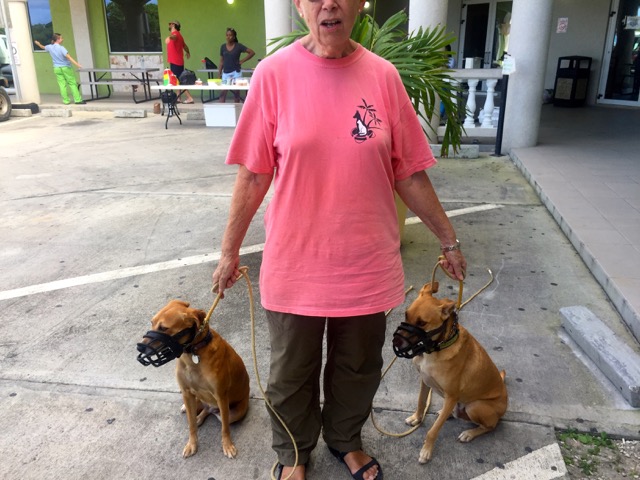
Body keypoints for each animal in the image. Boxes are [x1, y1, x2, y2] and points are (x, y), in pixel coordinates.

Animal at [138, 298, 250, 460]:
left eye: (164, 328)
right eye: (152, 323)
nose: (139, 347)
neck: (192, 355)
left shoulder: (221, 396)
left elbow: (225, 428)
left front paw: (227, 445)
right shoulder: (186, 393)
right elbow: (190, 425)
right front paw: (192, 444)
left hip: (233, 413)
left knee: (220, 417)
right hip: (196, 401)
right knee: (202, 410)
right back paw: (195, 416)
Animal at [392, 284, 508, 464]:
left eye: (422, 323)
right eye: (406, 314)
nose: (395, 342)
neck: (436, 348)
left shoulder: (452, 395)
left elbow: (433, 431)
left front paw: (426, 451)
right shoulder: (425, 381)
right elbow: (421, 402)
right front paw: (417, 418)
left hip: (476, 406)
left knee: (490, 426)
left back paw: (469, 433)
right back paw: (447, 413)